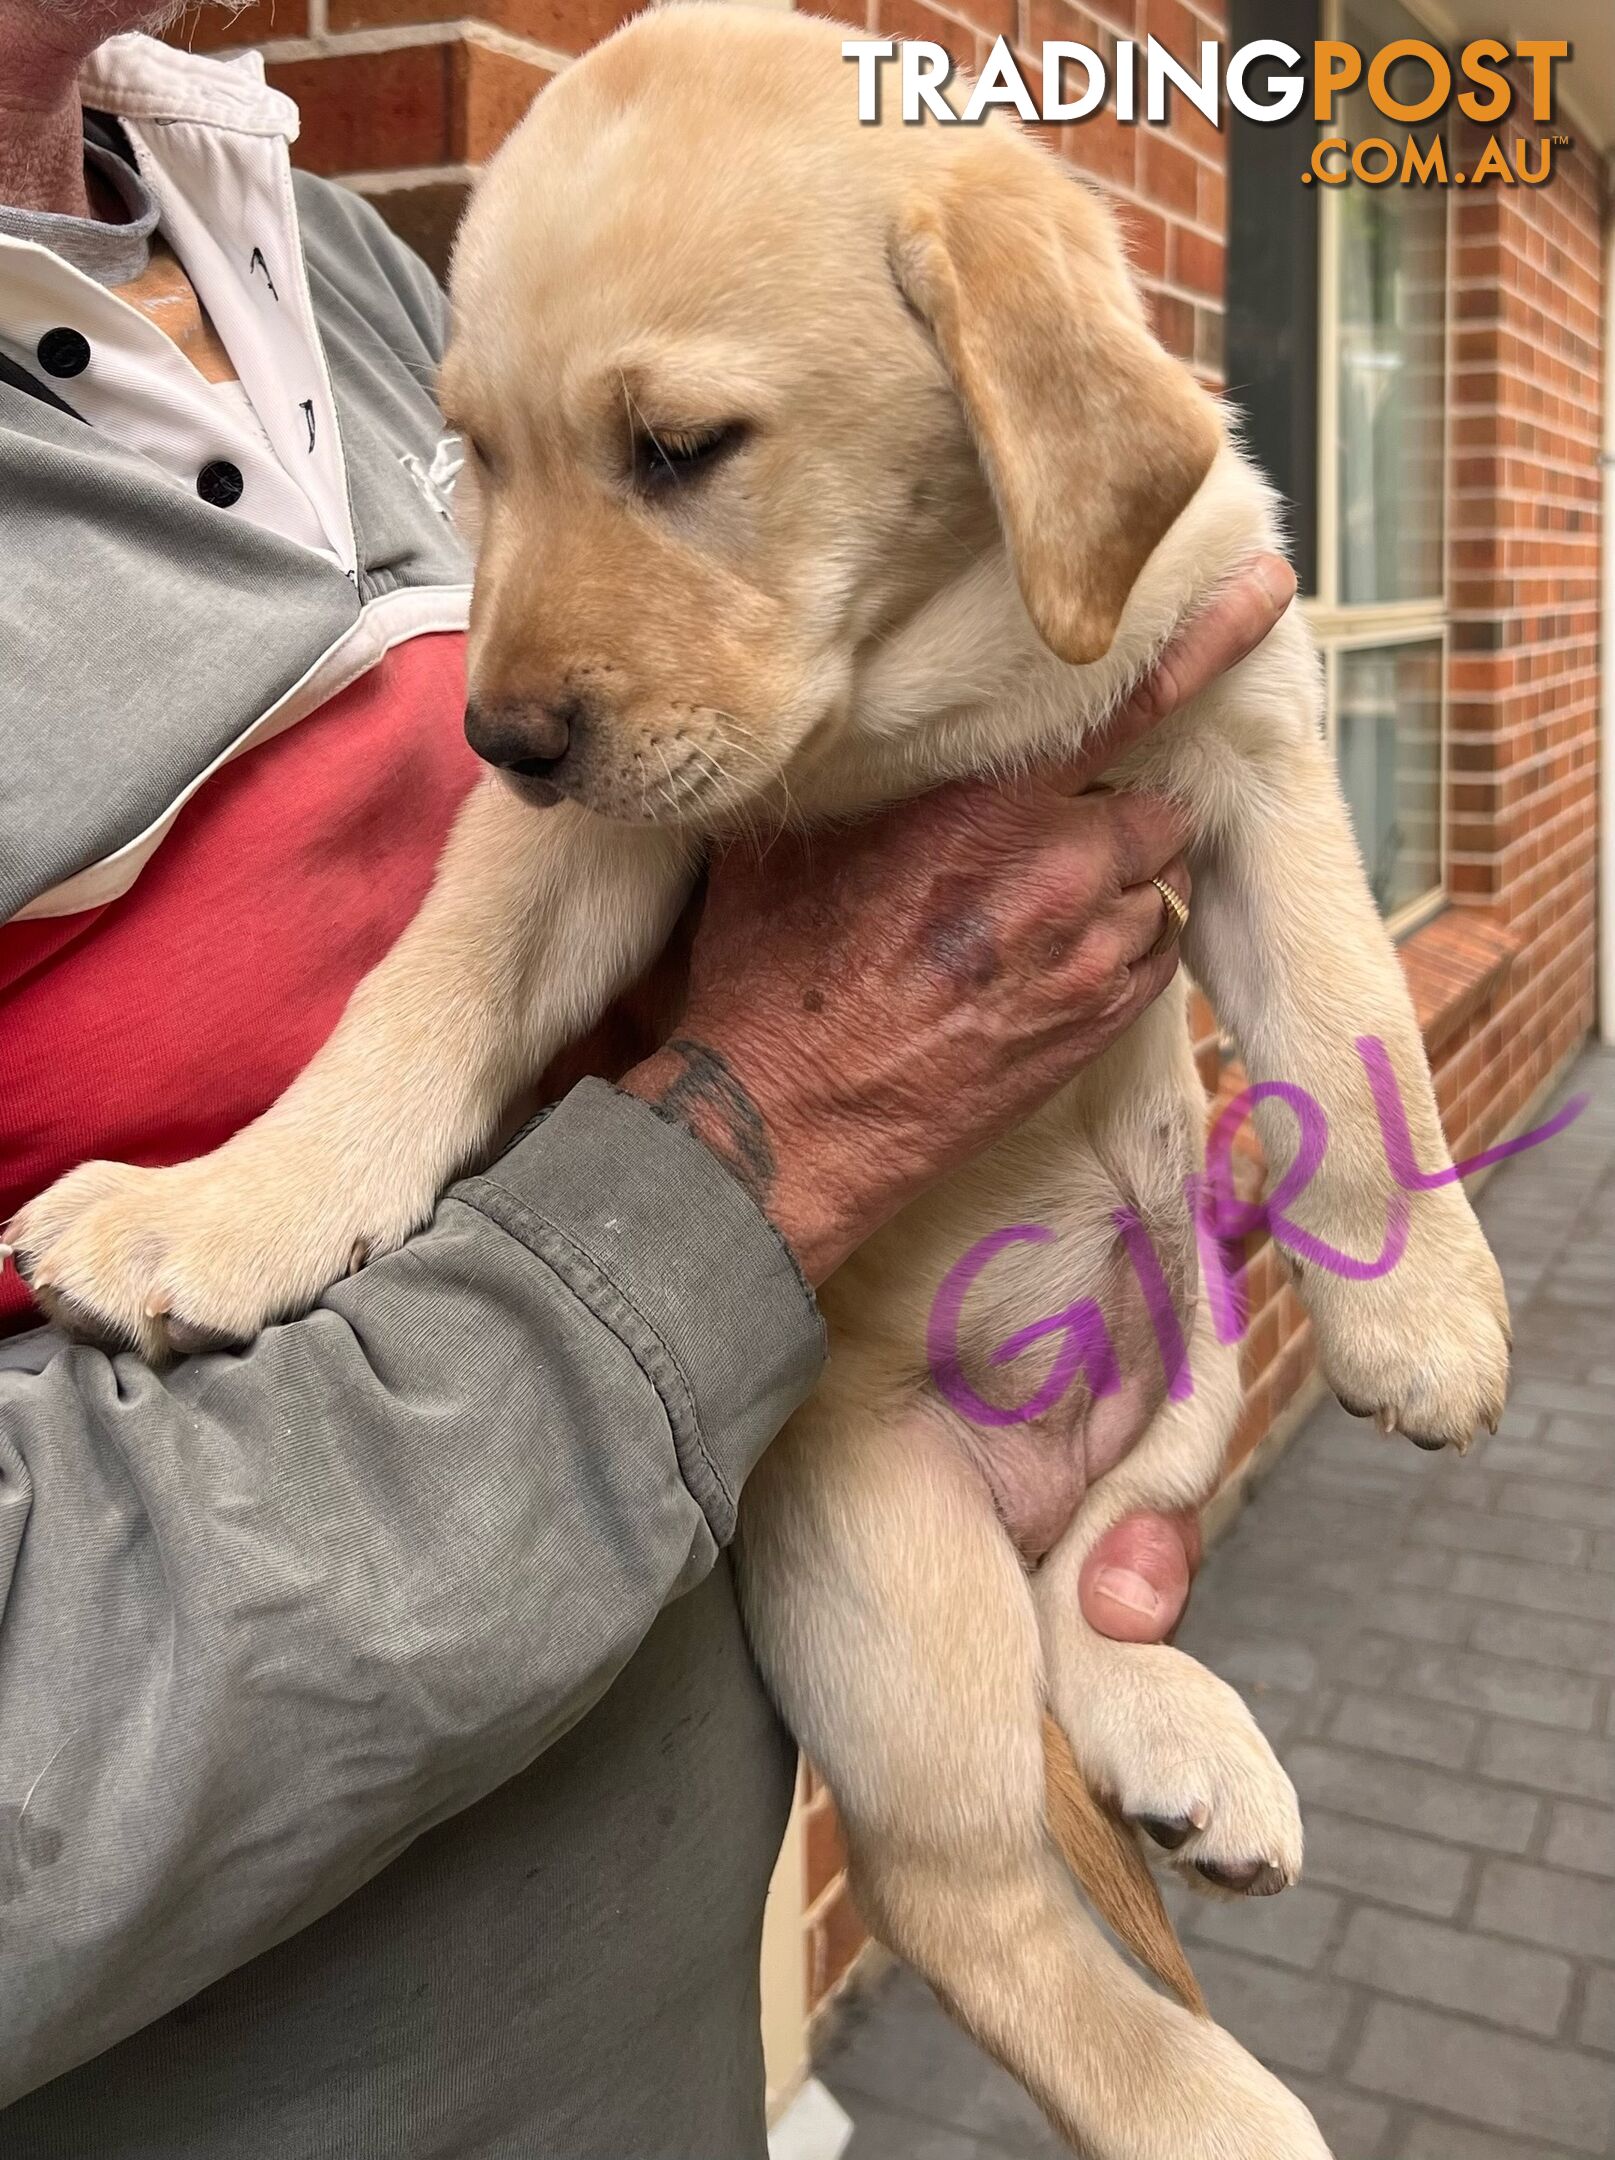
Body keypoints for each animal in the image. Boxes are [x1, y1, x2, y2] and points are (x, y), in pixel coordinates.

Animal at [12, 8, 1511, 2151]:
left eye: (679, 449)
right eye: (480, 456)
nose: (503, 738)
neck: (932, 665)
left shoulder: (1249, 742)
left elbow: (1351, 1025)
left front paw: (1428, 1318)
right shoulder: (577, 850)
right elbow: (421, 1006)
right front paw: (219, 1212)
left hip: (1199, 1357)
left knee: (1100, 1587)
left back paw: (1183, 1747)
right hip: (884, 1576)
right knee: (969, 1882)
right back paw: (1211, 2100)